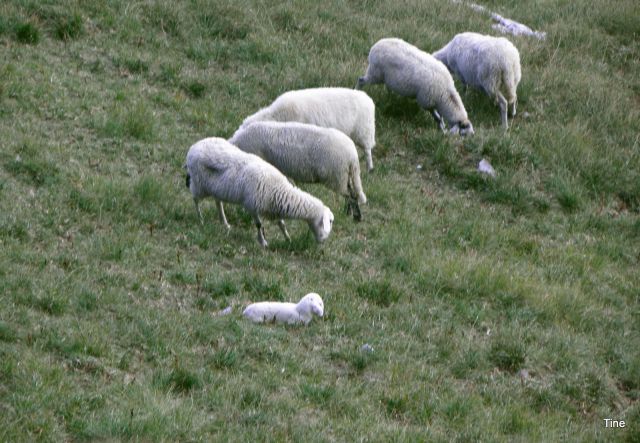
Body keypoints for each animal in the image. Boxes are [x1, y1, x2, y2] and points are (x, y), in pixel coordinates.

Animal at [185, 137, 336, 248]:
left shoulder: (274, 208)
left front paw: (288, 239)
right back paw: (201, 219)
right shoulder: (252, 205)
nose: (323, 241)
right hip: (199, 184)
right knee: (195, 199)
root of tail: (193, 148)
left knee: (218, 202)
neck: (279, 188)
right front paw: (263, 242)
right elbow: (259, 224)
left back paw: (225, 223)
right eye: (329, 221)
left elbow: (282, 224)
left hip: (216, 188)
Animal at [231, 120, 370, 222]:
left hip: (336, 177)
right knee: (351, 193)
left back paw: (356, 216)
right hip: (343, 176)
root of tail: (353, 156)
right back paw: (349, 213)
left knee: (351, 195)